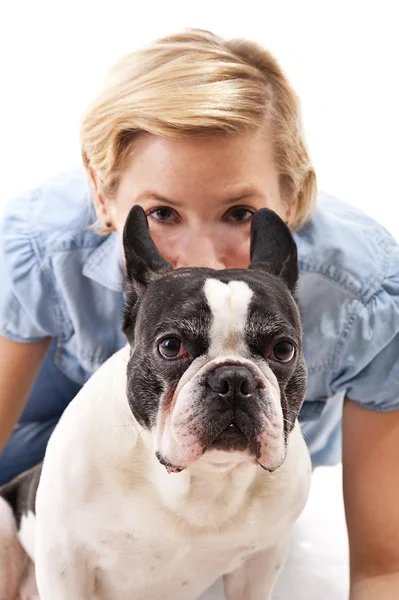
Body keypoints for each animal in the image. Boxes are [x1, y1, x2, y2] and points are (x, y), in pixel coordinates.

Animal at [0, 206, 312, 600]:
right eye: (170, 346)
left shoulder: (260, 563)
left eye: (283, 350)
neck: (204, 476)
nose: (233, 380)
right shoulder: (66, 560)